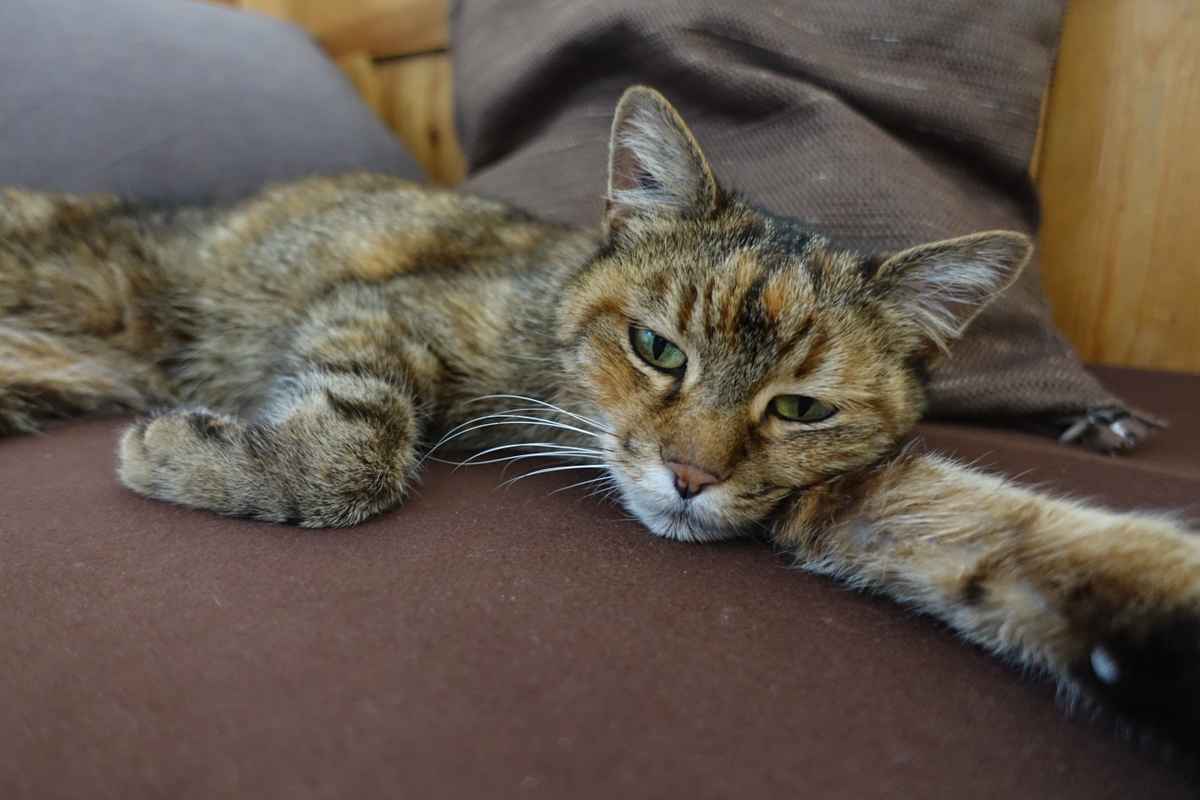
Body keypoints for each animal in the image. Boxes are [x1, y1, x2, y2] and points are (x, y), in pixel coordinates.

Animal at [2, 86, 1198, 746]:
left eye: (801, 407)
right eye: (657, 349)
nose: (690, 477)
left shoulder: (840, 494)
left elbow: (995, 531)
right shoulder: (379, 309)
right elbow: (361, 444)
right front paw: (197, 456)